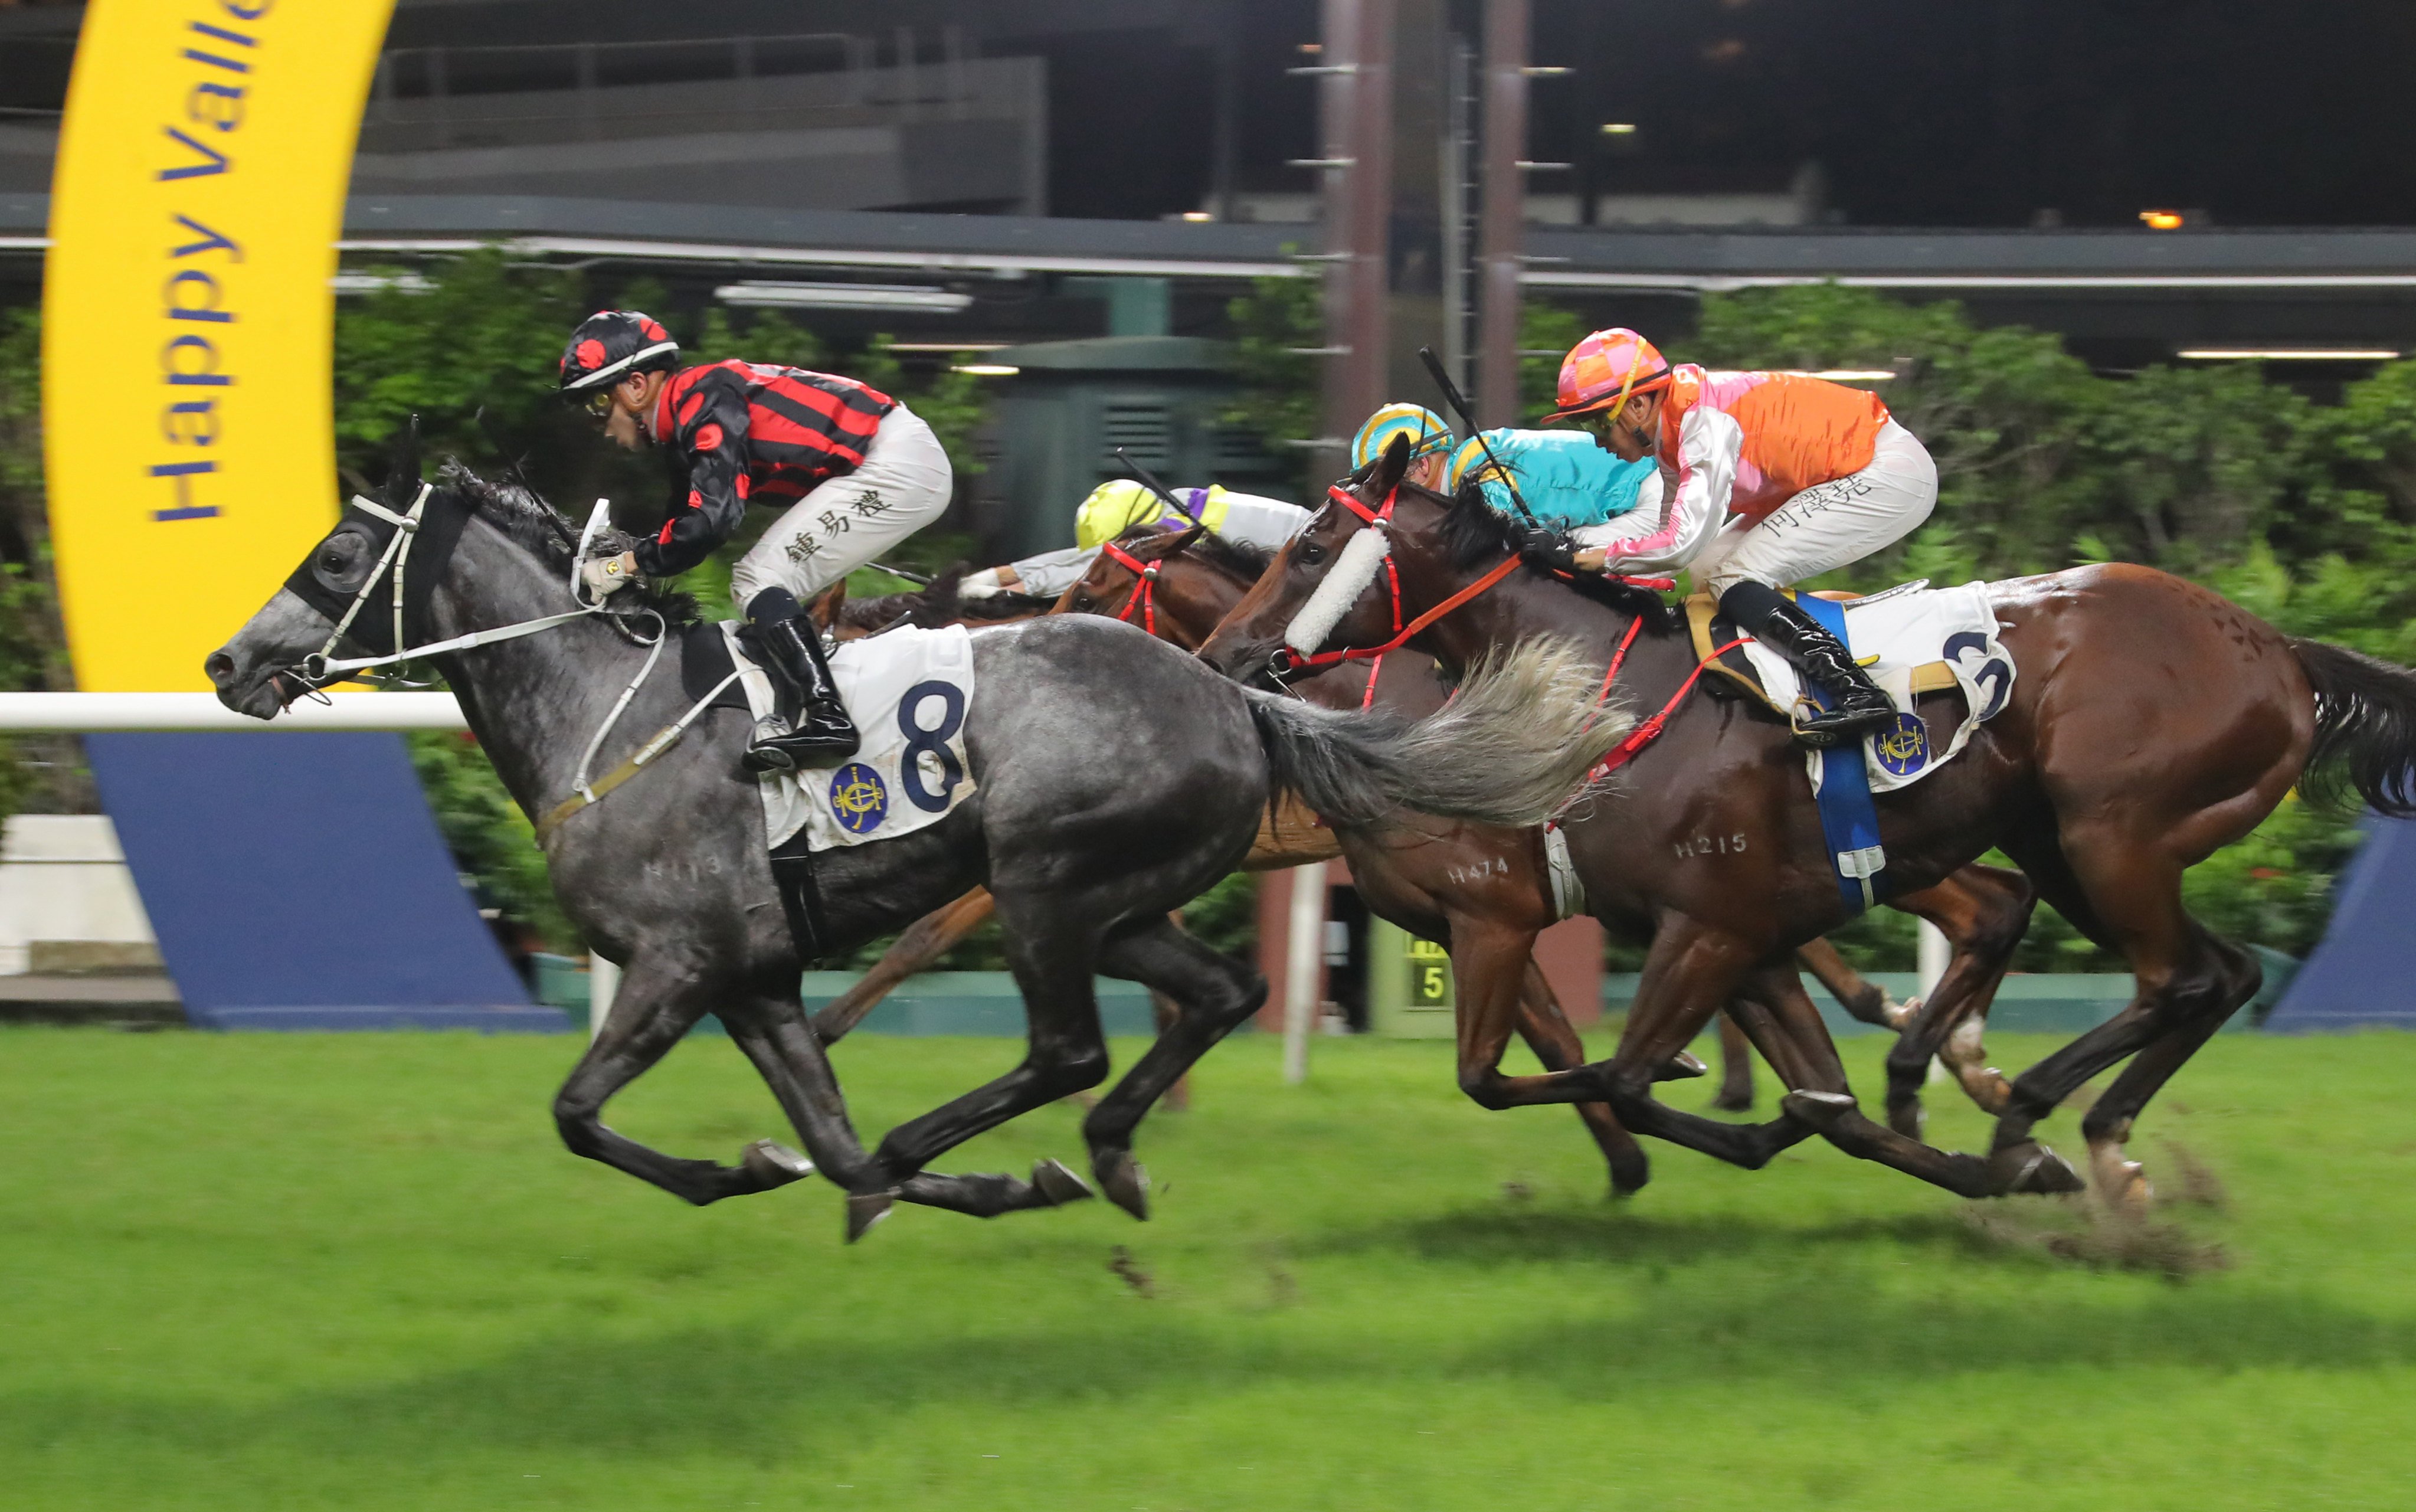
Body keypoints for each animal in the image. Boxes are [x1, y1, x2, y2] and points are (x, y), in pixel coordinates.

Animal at [202, 434, 1623, 1227]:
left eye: (335, 560)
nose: (227, 663)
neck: (605, 712)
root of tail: (1233, 691)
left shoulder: (675, 966)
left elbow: (581, 1113)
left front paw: (749, 1171)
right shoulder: (755, 979)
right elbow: (827, 1149)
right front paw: (938, 1185)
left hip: (1046, 887)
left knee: (1065, 1050)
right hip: (1120, 902)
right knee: (1221, 991)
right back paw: (1102, 1159)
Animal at [1193, 434, 2415, 1203]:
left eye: (1309, 549)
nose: (1223, 657)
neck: (1600, 692)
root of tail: (2276, 647)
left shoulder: (1679, 927)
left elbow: (1614, 1076)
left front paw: (1746, 1110)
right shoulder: (1745, 939)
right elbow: (1805, 1096)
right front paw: (1946, 1157)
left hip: (2111, 833)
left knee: (2170, 977)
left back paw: (2020, 1103)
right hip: (2069, 843)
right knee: (2214, 971)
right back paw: (2080, 1136)